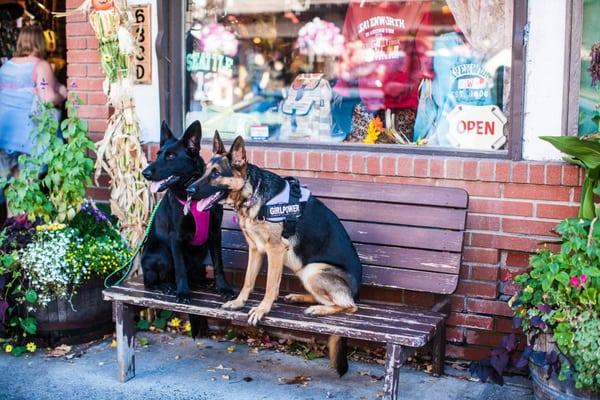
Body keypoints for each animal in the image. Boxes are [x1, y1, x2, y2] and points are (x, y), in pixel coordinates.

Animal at [141, 119, 234, 310]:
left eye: (170, 156)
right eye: (158, 154)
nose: (145, 173)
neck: (192, 195)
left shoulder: (215, 234)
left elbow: (219, 264)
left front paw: (223, 287)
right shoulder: (175, 237)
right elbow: (180, 268)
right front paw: (183, 292)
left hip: (201, 254)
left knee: (195, 274)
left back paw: (203, 281)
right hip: (162, 253)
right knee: (152, 282)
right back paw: (168, 286)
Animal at [188, 134, 364, 376]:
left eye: (215, 173)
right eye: (205, 171)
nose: (189, 190)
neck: (252, 194)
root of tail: (357, 290)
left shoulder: (275, 250)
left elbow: (271, 285)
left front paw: (262, 310)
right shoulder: (255, 249)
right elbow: (248, 280)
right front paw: (239, 302)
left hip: (313, 269)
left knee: (350, 306)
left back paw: (319, 309)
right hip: (304, 271)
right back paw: (300, 297)